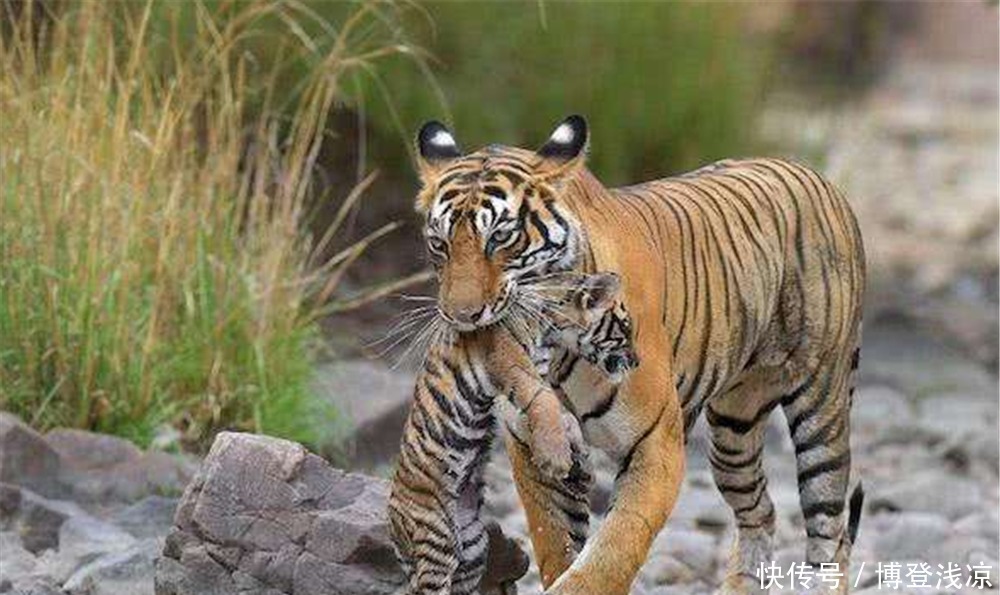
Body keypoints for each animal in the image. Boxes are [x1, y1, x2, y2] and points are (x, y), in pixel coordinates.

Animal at [388, 270, 639, 594]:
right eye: (625, 327)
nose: (637, 362)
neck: (553, 331)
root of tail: (392, 523)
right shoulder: (512, 365)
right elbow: (546, 402)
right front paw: (556, 462)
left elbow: (564, 416)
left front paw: (577, 459)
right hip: (436, 536)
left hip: (471, 544)